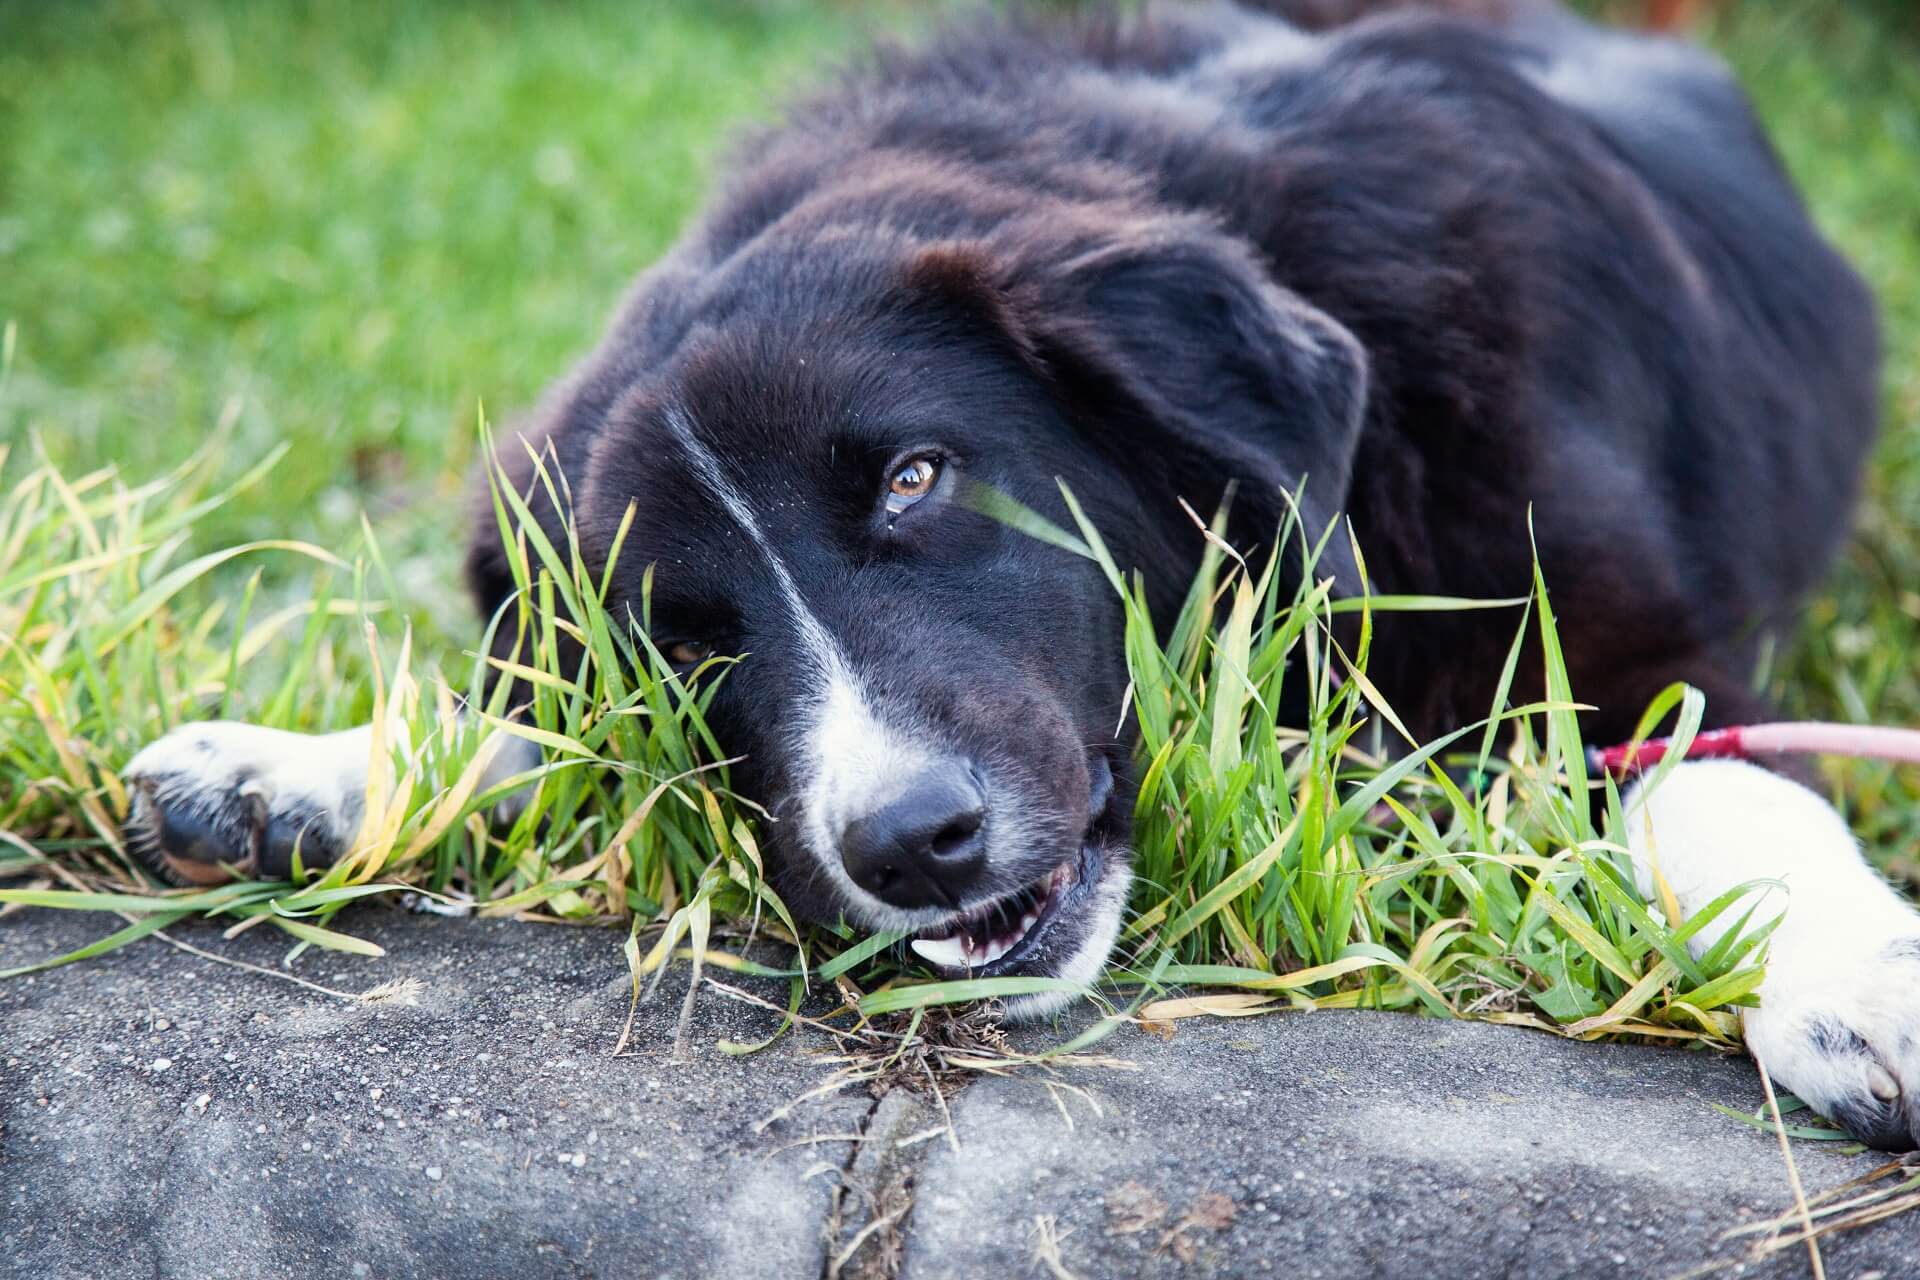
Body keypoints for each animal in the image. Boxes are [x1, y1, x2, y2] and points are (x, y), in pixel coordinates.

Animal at [127, 2, 1912, 1151]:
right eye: (685, 637)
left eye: (916, 479)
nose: (911, 846)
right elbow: (547, 724)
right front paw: (303, 768)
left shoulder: (1632, 651)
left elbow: (1729, 789)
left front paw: (1855, 982)